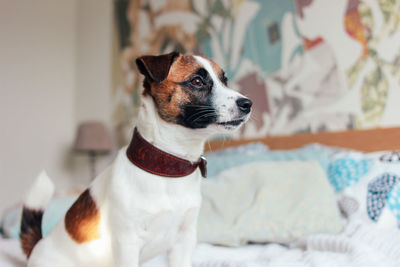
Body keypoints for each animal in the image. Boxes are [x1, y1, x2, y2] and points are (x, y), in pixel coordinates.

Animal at [20, 51, 252, 266]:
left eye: (225, 80)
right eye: (197, 81)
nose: (248, 103)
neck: (167, 166)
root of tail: (37, 247)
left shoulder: (184, 241)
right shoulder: (127, 244)